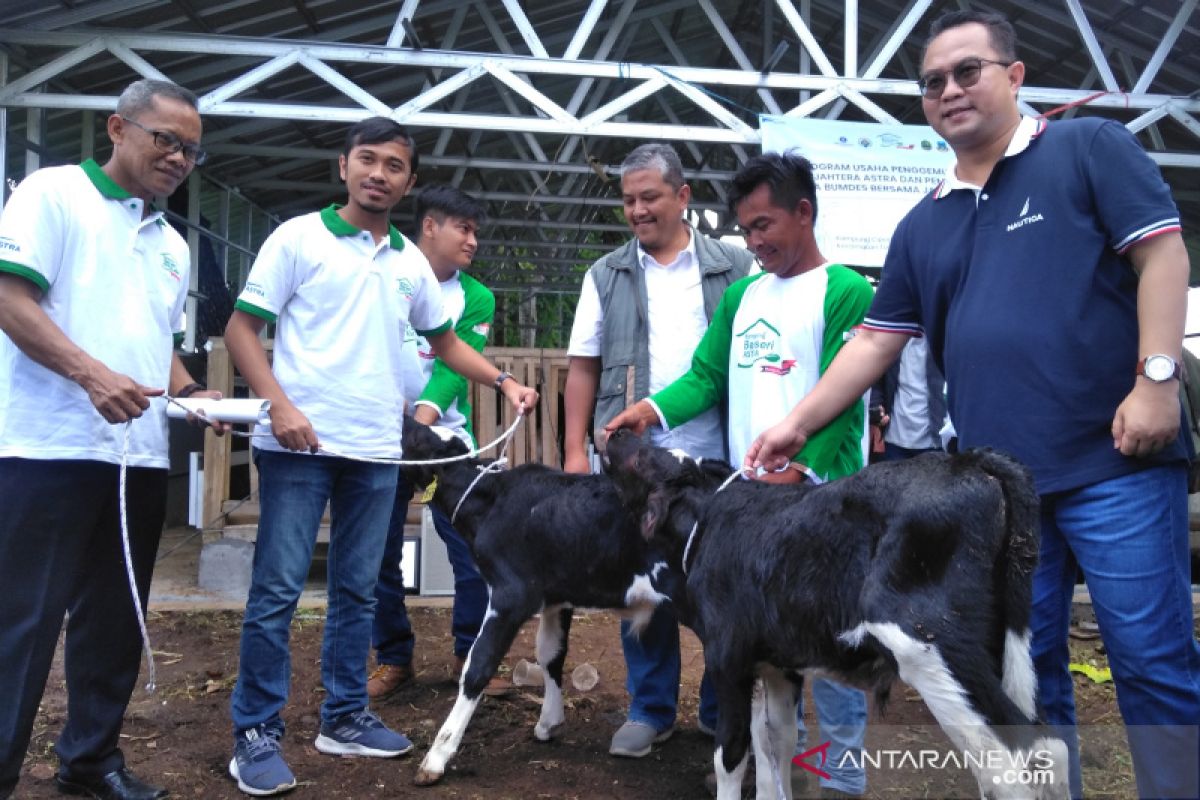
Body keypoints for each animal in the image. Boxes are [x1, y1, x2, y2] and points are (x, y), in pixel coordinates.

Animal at [398, 422, 681, 786]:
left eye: (416, 438)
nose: (403, 419)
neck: (492, 499)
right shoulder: (556, 596)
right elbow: (550, 653)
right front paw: (549, 722)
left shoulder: (511, 594)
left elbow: (478, 666)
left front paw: (437, 757)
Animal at [609, 431, 1070, 800]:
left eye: (644, 458)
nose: (616, 433)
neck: (707, 523)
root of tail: (970, 460)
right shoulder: (777, 663)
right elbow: (775, 743)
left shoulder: (727, 659)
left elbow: (732, 753)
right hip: (999, 645)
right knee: (1049, 745)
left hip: (929, 643)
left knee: (1009, 762)